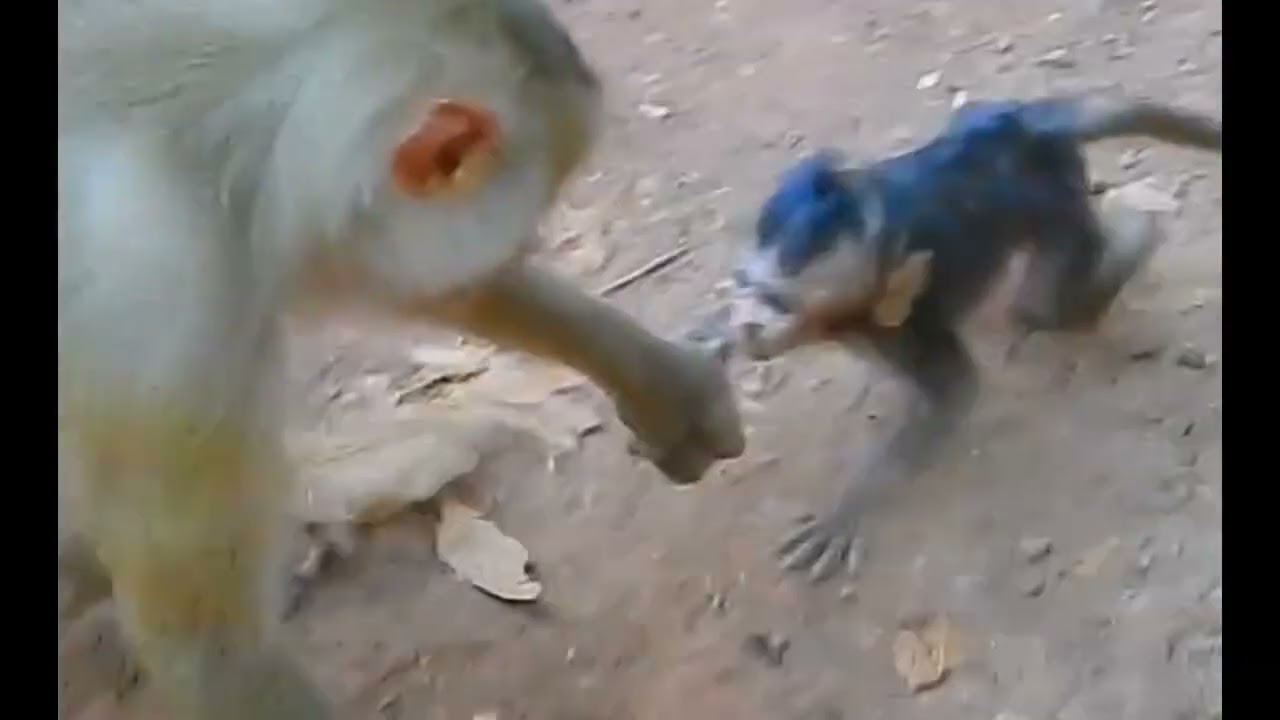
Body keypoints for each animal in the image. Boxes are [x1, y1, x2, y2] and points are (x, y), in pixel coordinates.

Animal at [708, 91, 1220, 584]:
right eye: (750, 286)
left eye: (779, 302)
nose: (750, 321)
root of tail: (1015, 124)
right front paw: (716, 341)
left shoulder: (896, 322)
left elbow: (955, 387)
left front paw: (853, 507)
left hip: (1055, 196)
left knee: (1046, 305)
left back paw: (1135, 235)